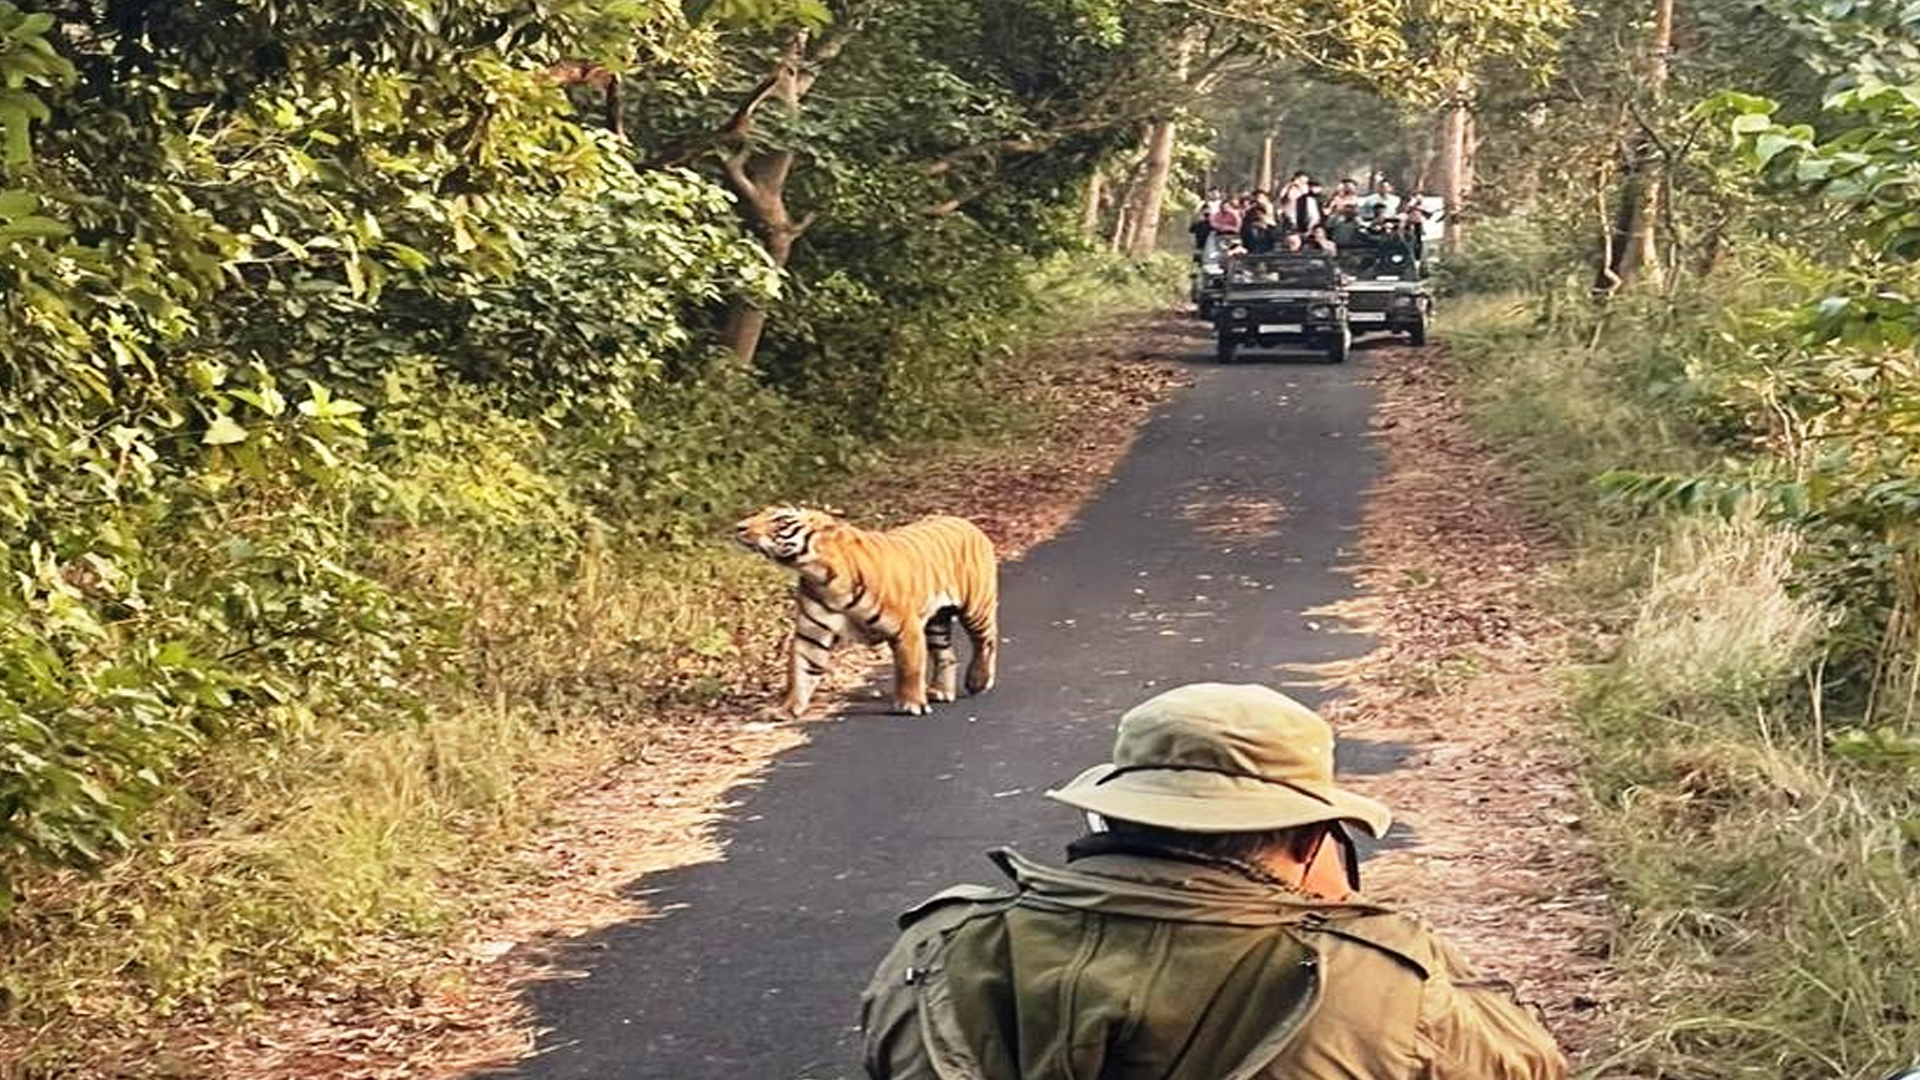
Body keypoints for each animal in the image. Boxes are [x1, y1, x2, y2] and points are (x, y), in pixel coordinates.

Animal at [733, 503, 1006, 714]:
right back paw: (940, 691)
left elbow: (909, 668)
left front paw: (910, 704)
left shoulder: (906, 628)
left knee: (986, 640)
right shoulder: (811, 634)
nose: (739, 527)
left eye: (780, 520)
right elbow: (799, 671)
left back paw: (979, 681)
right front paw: (787, 710)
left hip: (976, 608)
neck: (819, 574)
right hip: (936, 621)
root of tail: (968, 523)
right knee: (946, 654)